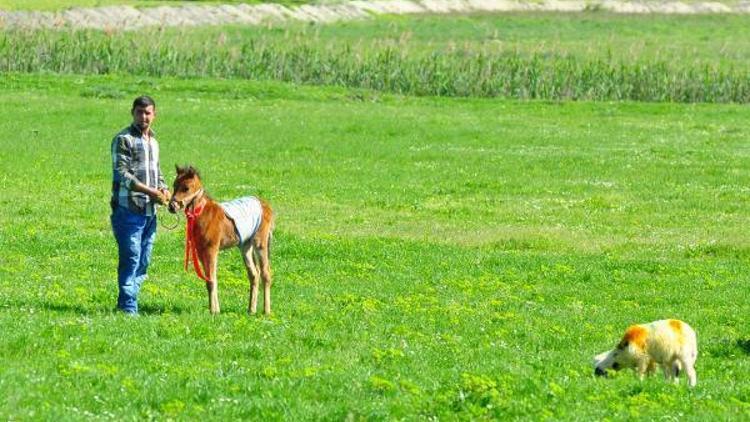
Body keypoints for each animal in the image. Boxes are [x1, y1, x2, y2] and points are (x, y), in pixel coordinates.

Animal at [169, 165, 274, 314]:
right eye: (174, 185)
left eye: (186, 188)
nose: (172, 206)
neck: (203, 213)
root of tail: (265, 205)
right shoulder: (200, 251)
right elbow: (209, 279)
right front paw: (214, 309)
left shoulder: (211, 249)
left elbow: (211, 279)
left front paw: (214, 311)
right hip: (245, 246)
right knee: (254, 274)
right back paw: (251, 310)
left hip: (260, 243)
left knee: (265, 273)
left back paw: (266, 311)